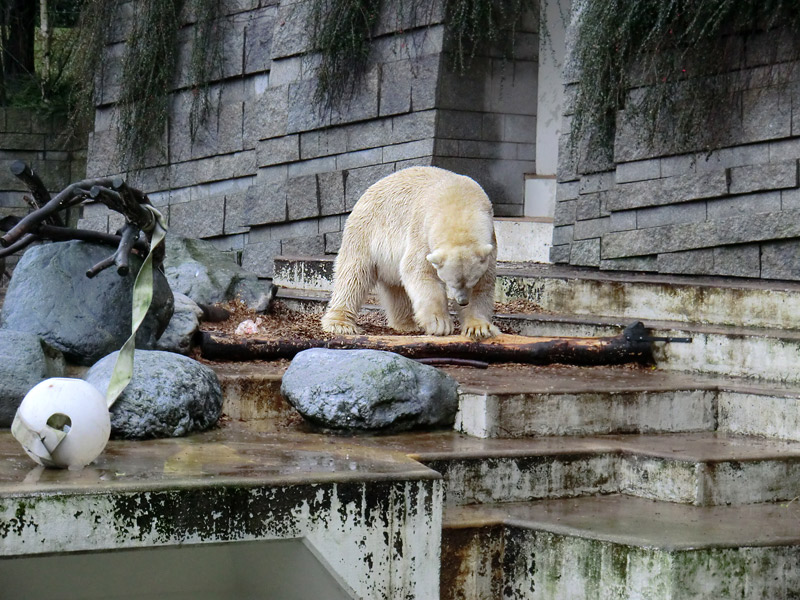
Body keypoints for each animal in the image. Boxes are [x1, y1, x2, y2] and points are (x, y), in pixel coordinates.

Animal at [320, 166, 500, 340]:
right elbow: (419, 271)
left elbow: (483, 285)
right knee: (353, 275)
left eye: (471, 281)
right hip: (365, 230)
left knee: (396, 287)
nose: (462, 302)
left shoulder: (490, 242)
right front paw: (439, 323)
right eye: (450, 282)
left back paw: (406, 324)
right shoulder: (422, 231)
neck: (458, 202)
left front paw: (479, 328)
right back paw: (341, 323)